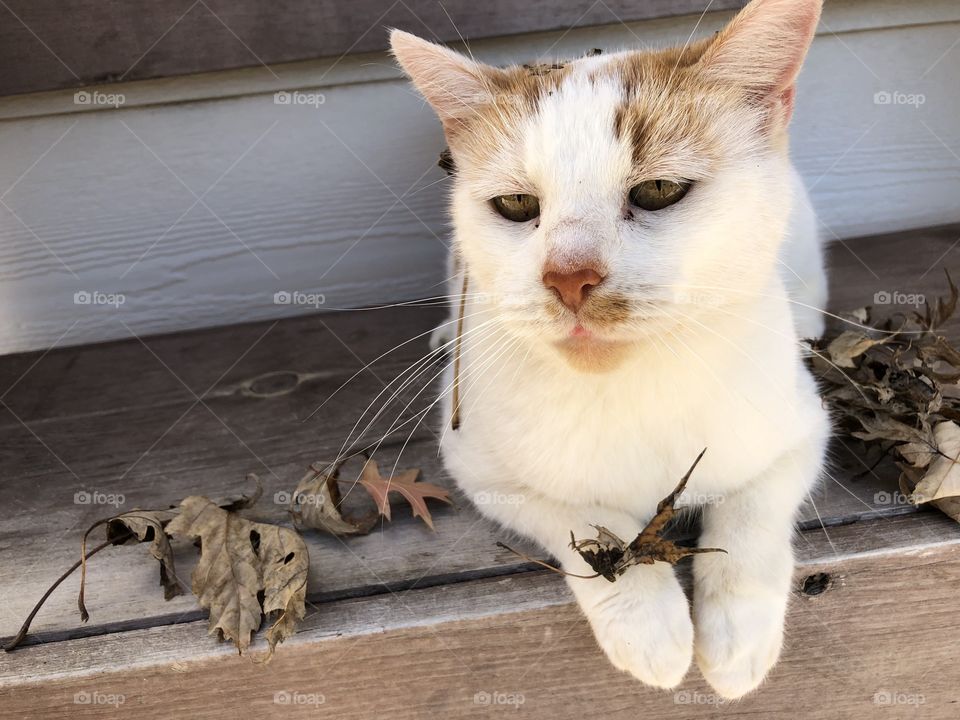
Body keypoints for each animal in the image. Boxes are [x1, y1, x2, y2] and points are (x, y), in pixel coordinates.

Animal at [394, 0, 828, 700]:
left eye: (659, 190)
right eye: (516, 204)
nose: (569, 277)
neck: (633, 390)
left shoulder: (802, 427)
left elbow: (752, 514)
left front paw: (737, 639)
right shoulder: (479, 465)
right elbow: (583, 516)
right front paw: (648, 624)